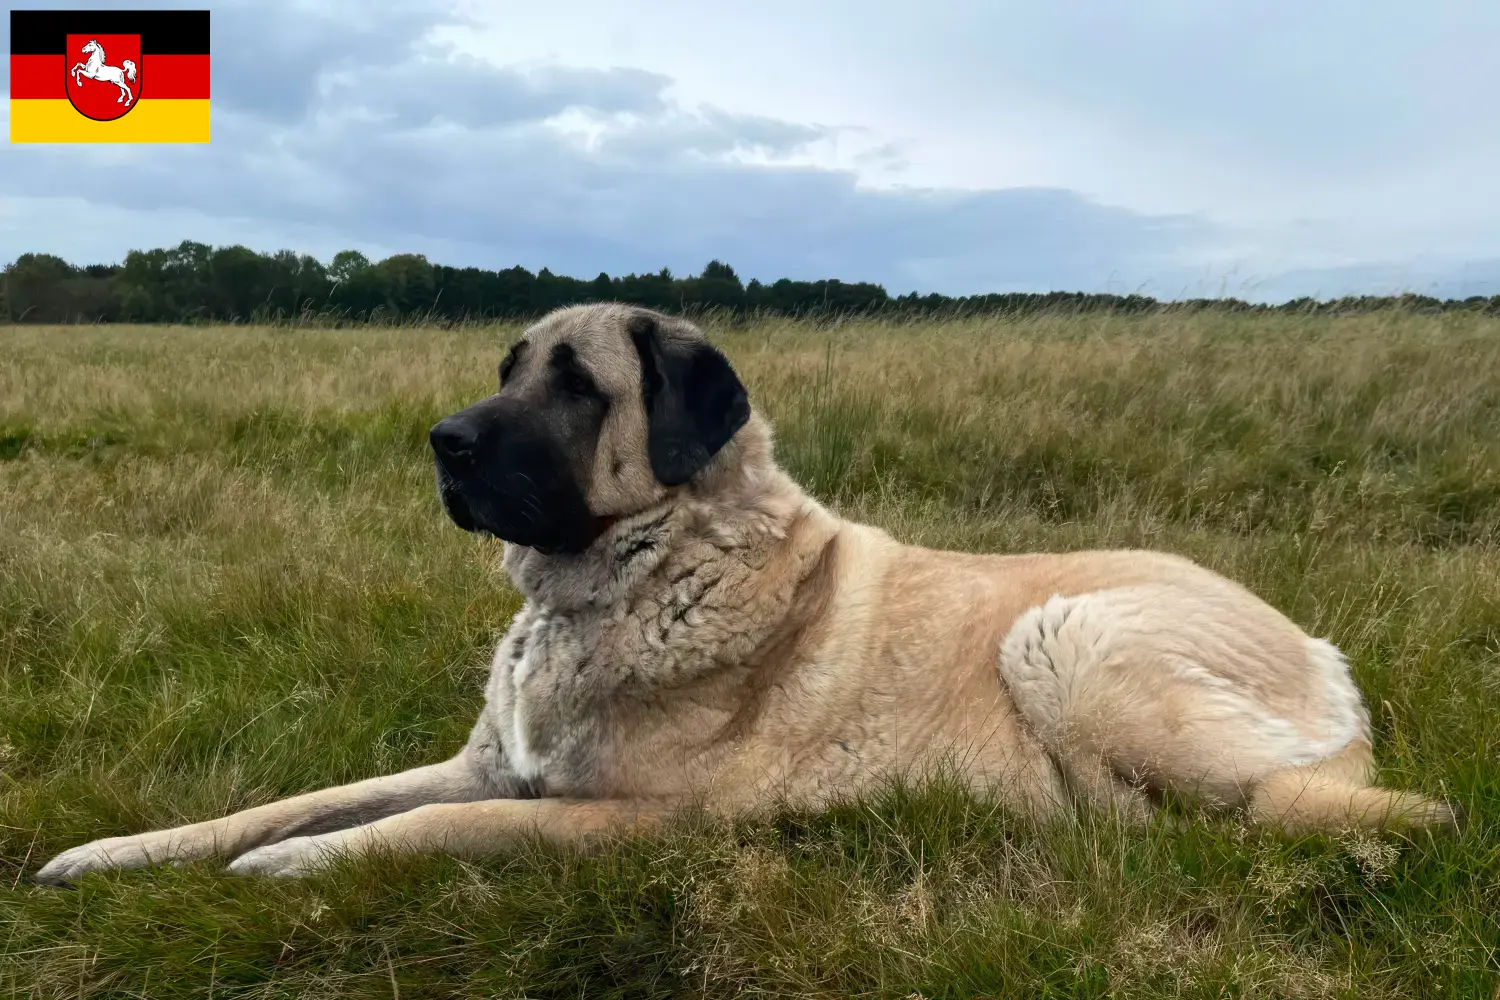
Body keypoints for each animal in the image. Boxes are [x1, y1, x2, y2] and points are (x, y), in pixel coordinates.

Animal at [35, 305, 1458, 881]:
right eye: (506, 368)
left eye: (576, 384)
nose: (439, 442)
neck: (630, 570)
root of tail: (1320, 646)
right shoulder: (487, 763)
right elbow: (289, 798)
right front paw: (114, 856)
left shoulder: (632, 819)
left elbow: (418, 827)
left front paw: (292, 869)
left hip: (1063, 638)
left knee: (1309, 811)